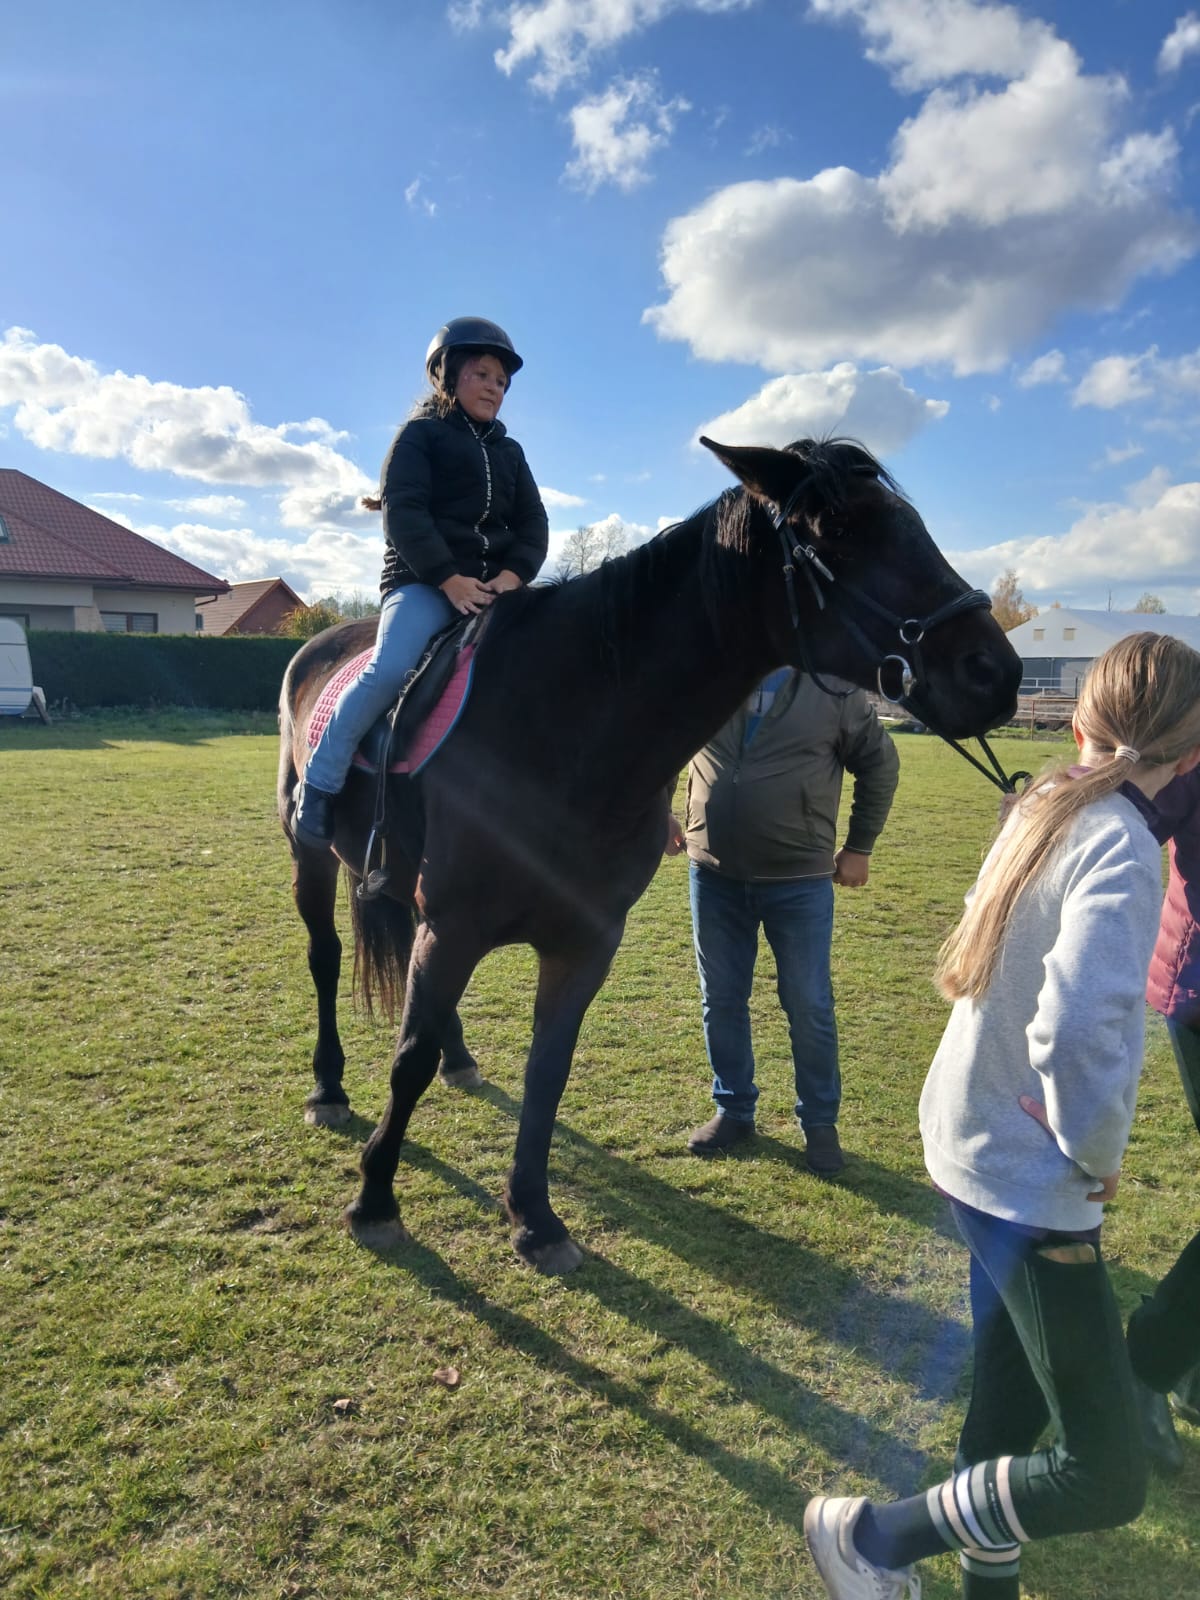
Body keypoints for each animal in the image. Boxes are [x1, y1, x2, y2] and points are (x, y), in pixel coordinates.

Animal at [278, 436, 1021, 1273]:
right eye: (838, 533)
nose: (994, 673)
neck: (562, 729)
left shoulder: (584, 942)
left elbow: (546, 1070)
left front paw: (535, 1216)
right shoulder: (457, 923)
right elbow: (408, 1058)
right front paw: (375, 1200)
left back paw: (460, 1061)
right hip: (313, 862)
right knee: (326, 958)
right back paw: (329, 1089)